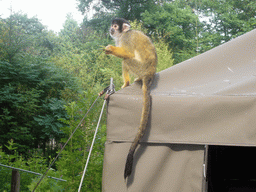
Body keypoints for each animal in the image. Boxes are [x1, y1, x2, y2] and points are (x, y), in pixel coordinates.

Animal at [104, 18, 157, 180]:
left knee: (127, 59)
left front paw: (111, 49)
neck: (123, 33)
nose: (111, 29)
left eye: (115, 26)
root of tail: (149, 75)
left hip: (140, 67)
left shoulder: (125, 38)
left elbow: (127, 53)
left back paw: (126, 83)